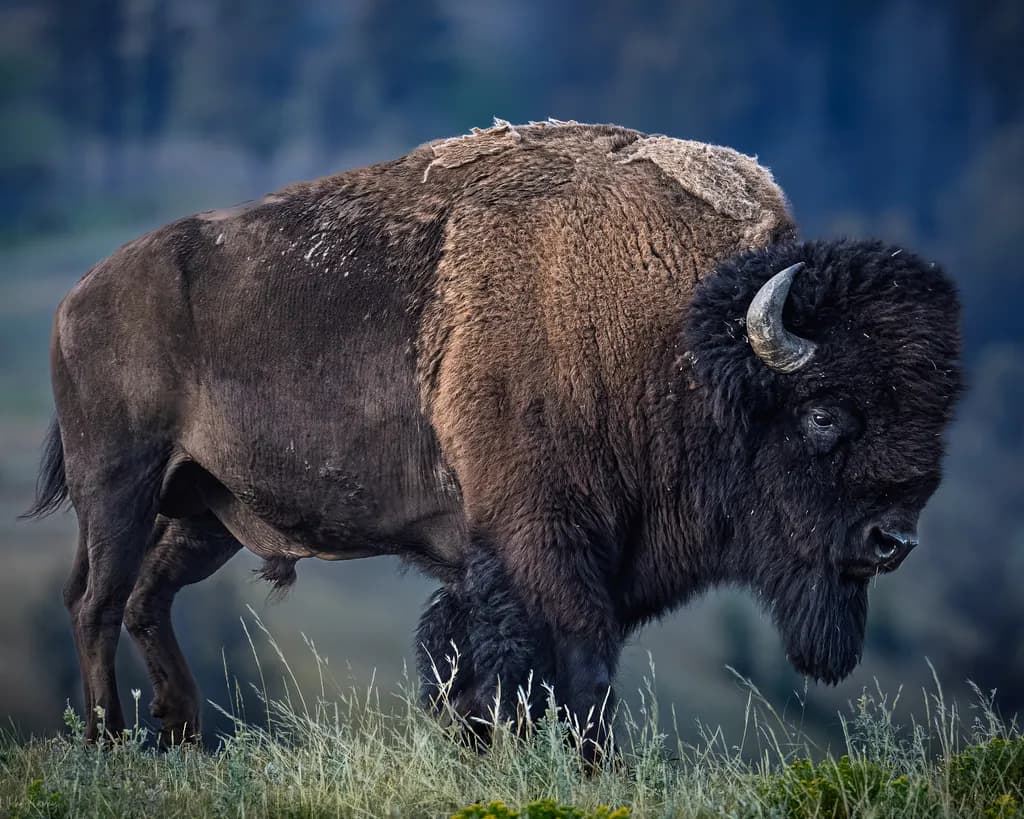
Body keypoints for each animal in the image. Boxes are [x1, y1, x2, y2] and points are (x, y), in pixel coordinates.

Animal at [25, 121, 962, 753]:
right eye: (824, 413)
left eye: (933, 413)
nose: (893, 540)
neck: (678, 335)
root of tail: (78, 297)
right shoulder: (542, 548)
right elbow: (570, 674)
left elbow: (480, 671)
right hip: (121, 482)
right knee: (96, 601)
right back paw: (110, 737)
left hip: (203, 513)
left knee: (146, 599)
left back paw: (182, 731)